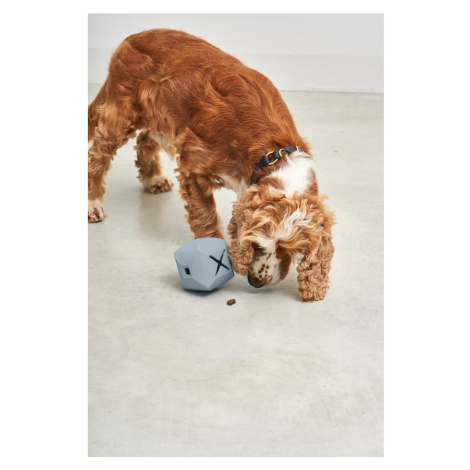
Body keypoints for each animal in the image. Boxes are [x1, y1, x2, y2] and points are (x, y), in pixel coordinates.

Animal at [88, 29, 335, 302]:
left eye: (287, 249)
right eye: (257, 245)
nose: (255, 283)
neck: (272, 152)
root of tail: (132, 36)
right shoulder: (193, 168)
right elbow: (205, 217)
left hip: (163, 119)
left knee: (145, 139)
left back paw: (153, 179)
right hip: (122, 114)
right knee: (97, 155)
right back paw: (92, 204)